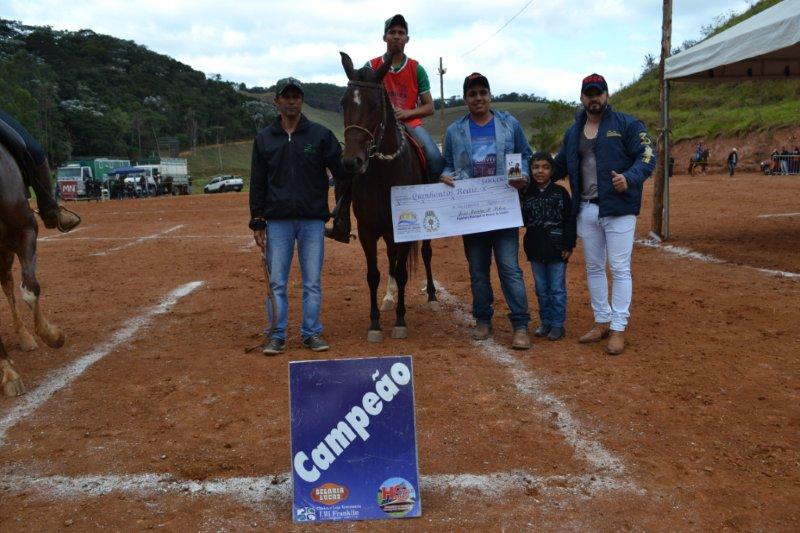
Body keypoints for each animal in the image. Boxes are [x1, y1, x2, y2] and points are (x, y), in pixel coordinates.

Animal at [0, 141, 64, 394]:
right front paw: (8, 372)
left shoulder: (26, 230)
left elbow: (30, 288)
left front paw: (51, 334)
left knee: (7, 282)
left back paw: (25, 337)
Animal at [338, 53, 438, 340]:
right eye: (343, 103)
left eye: (375, 105)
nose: (351, 162)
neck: (384, 173)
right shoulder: (368, 229)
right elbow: (373, 274)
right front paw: (374, 323)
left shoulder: (402, 228)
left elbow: (403, 272)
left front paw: (400, 321)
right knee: (392, 259)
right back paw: (389, 297)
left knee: (425, 253)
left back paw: (432, 297)